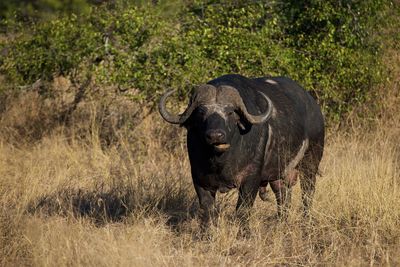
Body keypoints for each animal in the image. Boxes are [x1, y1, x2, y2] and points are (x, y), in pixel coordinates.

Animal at [159, 74, 324, 234]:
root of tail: (315, 108)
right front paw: (207, 235)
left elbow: (242, 209)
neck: (221, 161)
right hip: (279, 174)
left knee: (307, 193)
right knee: (282, 197)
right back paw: (281, 223)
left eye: (230, 112)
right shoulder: (200, 180)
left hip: (311, 162)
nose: (215, 135)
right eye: (201, 112)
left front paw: (244, 234)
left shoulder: (250, 179)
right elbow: (207, 210)